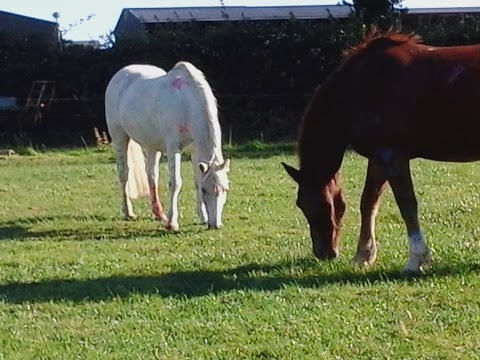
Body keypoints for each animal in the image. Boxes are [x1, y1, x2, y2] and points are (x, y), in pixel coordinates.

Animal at [104, 62, 231, 231]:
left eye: (226, 189)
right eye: (206, 190)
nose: (216, 225)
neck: (185, 104)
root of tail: (121, 74)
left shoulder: (195, 151)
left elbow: (197, 180)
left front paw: (202, 217)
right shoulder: (173, 149)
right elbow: (175, 183)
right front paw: (172, 223)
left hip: (152, 145)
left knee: (151, 175)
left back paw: (159, 213)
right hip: (120, 138)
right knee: (124, 174)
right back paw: (129, 212)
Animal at [284, 29, 480, 272]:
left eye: (304, 203)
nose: (324, 253)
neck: (361, 87)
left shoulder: (392, 156)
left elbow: (407, 204)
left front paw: (416, 259)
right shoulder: (377, 159)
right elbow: (368, 202)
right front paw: (363, 255)